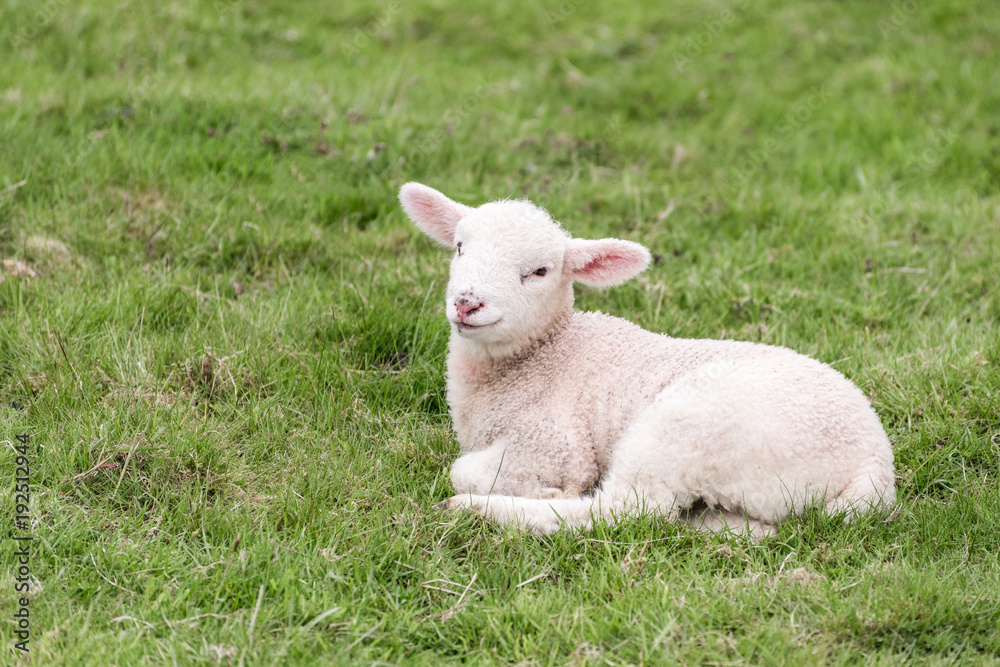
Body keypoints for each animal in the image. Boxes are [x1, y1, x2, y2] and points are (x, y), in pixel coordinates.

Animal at [400, 181, 900, 536]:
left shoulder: (554, 445)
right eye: (459, 247)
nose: (467, 303)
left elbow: (464, 470)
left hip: (685, 430)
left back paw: (479, 511)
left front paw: (537, 490)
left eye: (539, 272)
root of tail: (875, 464)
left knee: (628, 510)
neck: (545, 355)